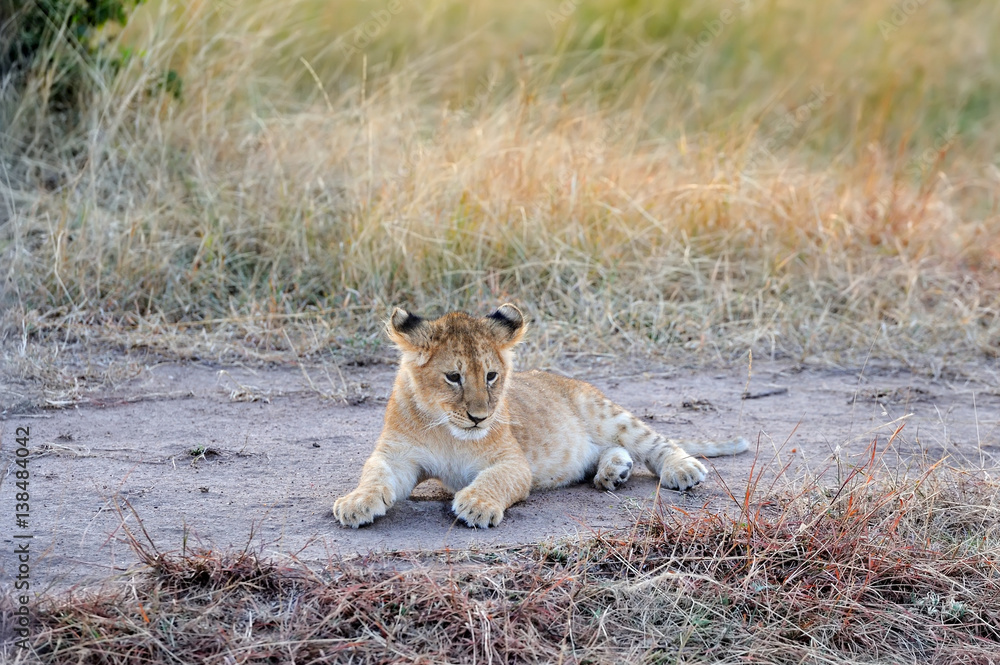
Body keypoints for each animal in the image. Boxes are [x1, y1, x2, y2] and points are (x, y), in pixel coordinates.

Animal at [332, 304, 749, 528]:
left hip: (605, 413)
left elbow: (495, 480)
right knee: (611, 452)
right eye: (453, 377)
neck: (446, 429)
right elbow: (374, 475)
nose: (479, 418)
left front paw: (477, 504)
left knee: (656, 442)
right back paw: (613, 472)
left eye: (491, 376)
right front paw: (355, 503)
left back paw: (682, 469)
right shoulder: (397, 456)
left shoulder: (514, 463)